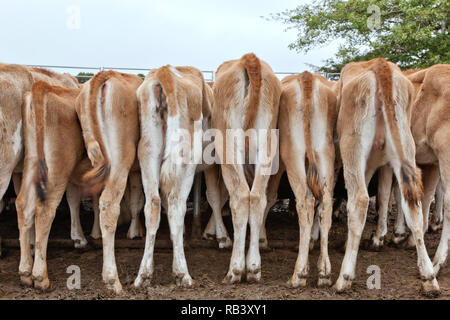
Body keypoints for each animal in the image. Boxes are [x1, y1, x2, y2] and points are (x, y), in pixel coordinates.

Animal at [75, 70, 142, 292]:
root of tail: (104, 75)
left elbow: (135, 200)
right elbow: (137, 201)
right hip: (121, 159)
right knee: (109, 205)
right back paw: (113, 279)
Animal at [334, 58, 440, 296]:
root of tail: (380, 65)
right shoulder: (379, 164)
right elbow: (383, 195)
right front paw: (377, 238)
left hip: (352, 147)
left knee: (359, 200)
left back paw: (344, 277)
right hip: (405, 147)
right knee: (414, 204)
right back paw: (429, 277)